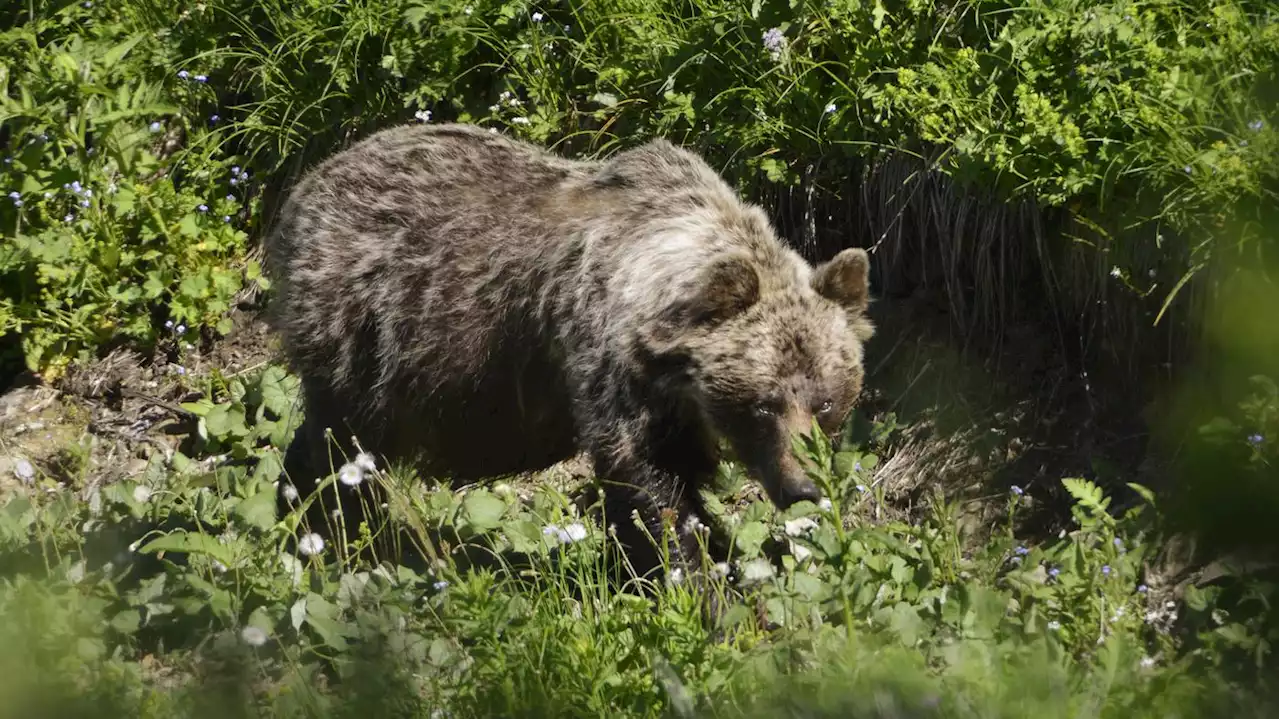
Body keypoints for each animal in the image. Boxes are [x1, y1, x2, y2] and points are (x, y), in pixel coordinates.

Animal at [264, 121, 875, 583]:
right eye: (763, 403)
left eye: (825, 402)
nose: (803, 488)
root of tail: (306, 185)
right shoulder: (608, 361)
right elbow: (651, 484)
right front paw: (697, 580)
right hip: (364, 330)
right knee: (340, 446)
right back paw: (326, 533)